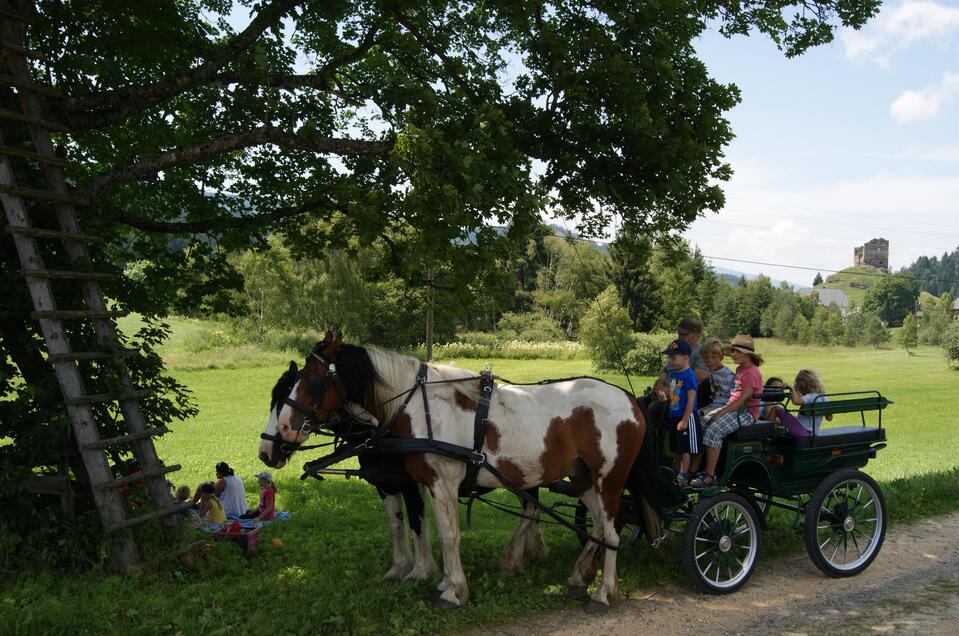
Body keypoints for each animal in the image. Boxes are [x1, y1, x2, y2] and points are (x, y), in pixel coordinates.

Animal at [268, 336, 644, 612]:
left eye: (313, 379)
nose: (283, 430)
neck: (420, 406)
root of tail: (629, 400)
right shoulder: (426, 485)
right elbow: (433, 531)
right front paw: (444, 581)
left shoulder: (442, 483)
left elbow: (449, 535)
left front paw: (452, 591)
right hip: (583, 479)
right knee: (596, 525)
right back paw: (579, 577)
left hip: (609, 481)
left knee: (611, 532)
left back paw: (603, 592)